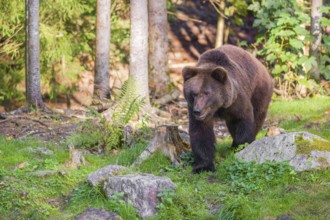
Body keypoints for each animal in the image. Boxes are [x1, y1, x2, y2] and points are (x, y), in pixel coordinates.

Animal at [182, 44, 272, 173]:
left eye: (206, 93)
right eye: (194, 93)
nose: (198, 111)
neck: (218, 107)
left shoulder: (235, 100)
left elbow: (243, 119)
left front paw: (239, 147)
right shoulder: (194, 109)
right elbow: (201, 132)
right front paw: (203, 166)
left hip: (259, 90)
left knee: (257, 115)